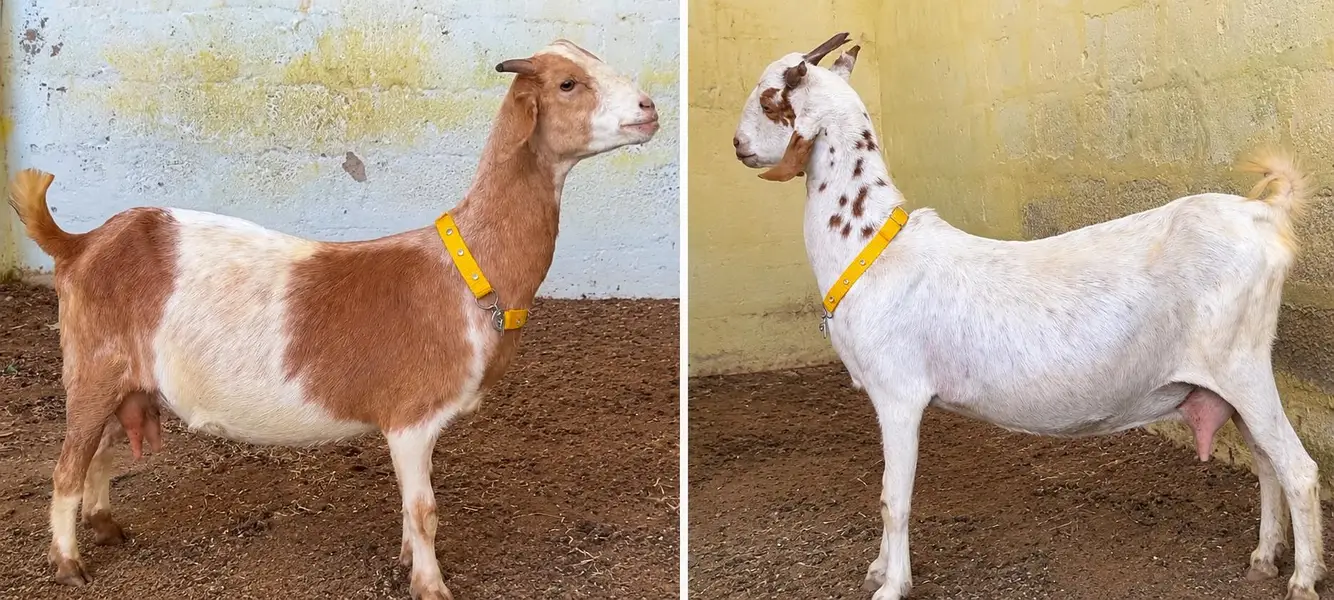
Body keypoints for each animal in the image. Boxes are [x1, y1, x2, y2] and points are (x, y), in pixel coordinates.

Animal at [8, 39, 659, 600]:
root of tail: (79, 243)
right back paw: (68, 563)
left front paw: (406, 561)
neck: (469, 267)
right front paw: (431, 585)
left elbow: (410, 513)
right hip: (92, 368)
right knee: (67, 466)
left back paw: (106, 528)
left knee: (100, 451)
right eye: (568, 83)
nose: (650, 109)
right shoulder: (411, 416)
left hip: (130, 381)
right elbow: (425, 512)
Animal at [732, 32, 1323, 600]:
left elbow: (891, 498)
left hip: (1241, 364)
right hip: (1231, 380)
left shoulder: (898, 393)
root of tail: (1266, 215)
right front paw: (878, 570)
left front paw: (892, 585)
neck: (868, 244)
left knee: (1298, 469)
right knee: (1266, 462)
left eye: (769, 99)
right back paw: (1264, 558)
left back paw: (1302, 580)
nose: (737, 146)